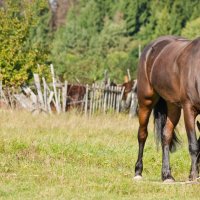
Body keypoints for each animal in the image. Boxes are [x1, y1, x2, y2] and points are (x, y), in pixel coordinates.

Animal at [134, 35, 200, 182]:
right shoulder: (189, 109)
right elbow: (194, 144)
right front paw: (193, 176)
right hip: (146, 101)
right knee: (142, 134)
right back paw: (138, 172)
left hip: (173, 107)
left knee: (166, 135)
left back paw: (167, 175)